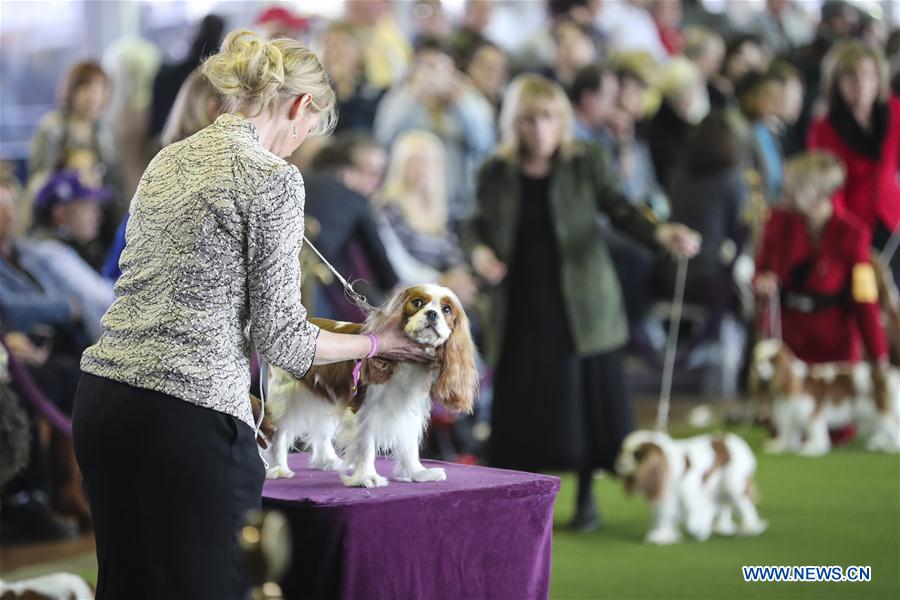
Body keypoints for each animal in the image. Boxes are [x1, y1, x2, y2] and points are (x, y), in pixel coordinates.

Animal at [264, 284, 482, 488]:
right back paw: (279, 468)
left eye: (446, 310)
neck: (407, 365)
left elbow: (409, 444)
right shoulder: (365, 410)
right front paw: (367, 478)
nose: (432, 313)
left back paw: (327, 461)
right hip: (286, 397)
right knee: (279, 433)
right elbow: (366, 445)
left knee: (322, 430)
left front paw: (417, 473)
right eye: (418, 303)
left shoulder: (409, 409)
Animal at [620, 428, 768, 548]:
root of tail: (734, 439)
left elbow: (691, 517)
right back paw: (721, 527)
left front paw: (698, 528)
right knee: (725, 505)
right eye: (623, 451)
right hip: (721, 486)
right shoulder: (667, 499)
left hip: (733, 484)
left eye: (636, 455)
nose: (621, 462)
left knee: (745, 505)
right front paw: (665, 536)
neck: (666, 463)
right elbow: (665, 516)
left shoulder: (690, 496)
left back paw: (749, 528)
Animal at [752, 338, 900, 454]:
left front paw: (812, 448)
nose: (757, 368)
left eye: (771, 361)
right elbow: (789, 433)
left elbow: (816, 433)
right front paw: (781, 447)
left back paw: (892, 447)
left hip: (881, 411)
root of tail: (886, 375)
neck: (794, 383)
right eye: (759, 360)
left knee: (893, 428)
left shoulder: (811, 413)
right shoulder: (788, 414)